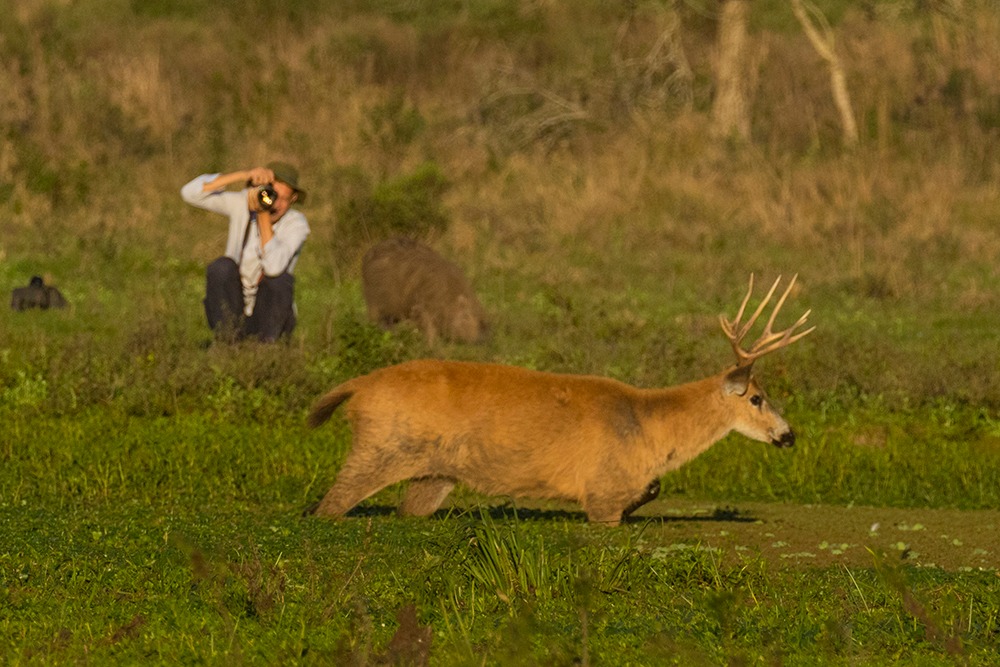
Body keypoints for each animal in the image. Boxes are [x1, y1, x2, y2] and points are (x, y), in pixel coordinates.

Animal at [306, 275, 814, 526]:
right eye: (757, 398)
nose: (789, 435)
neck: (647, 425)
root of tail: (357, 387)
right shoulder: (603, 490)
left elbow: (653, 490)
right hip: (381, 448)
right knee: (326, 507)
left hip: (434, 475)